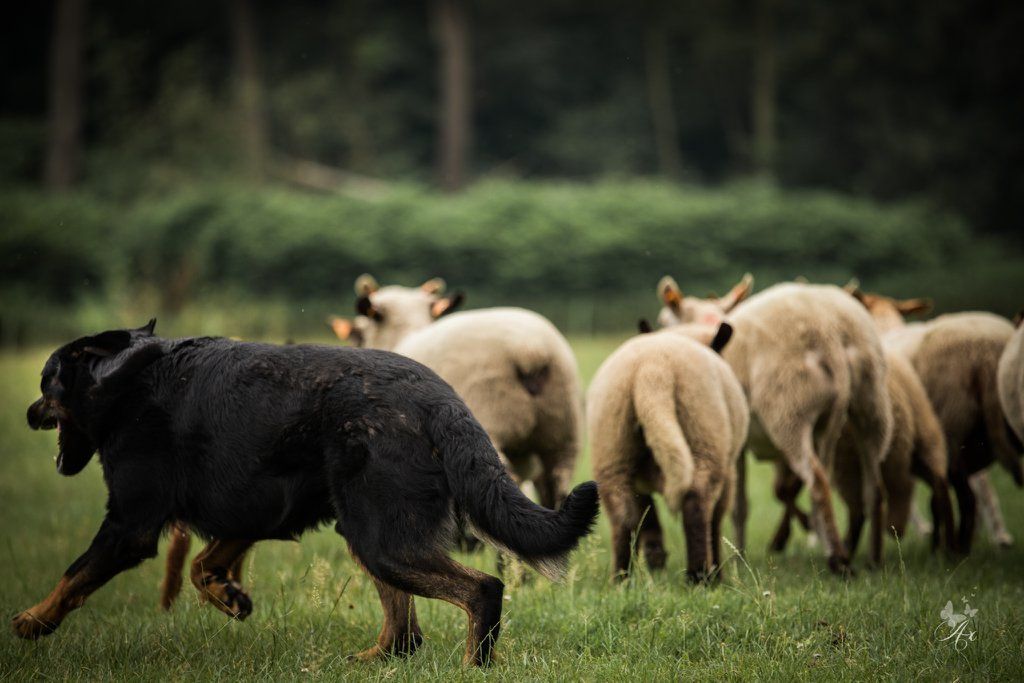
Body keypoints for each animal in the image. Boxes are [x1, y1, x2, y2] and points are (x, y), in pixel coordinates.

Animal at [16, 321, 598, 667]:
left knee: (481, 590)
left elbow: (74, 576)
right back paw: (367, 663)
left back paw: (472, 666)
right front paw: (229, 595)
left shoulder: (129, 525)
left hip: (380, 539)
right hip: (364, 529)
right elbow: (204, 565)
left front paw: (33, 621)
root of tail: (440, 399)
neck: (121, 379)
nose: (26, 413)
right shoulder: (255, 509)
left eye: (45, 383)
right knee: (405, 634)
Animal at [589, 323, 749, 581]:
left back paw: (622, 577)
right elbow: (716, 520)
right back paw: (701, 576)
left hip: (611, 448)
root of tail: (653, 370)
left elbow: (648, 517)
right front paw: (717, 570)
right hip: (705, 436)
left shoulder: (640, 482)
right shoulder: (729, 473)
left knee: (622, 512)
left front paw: (655, 562)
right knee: (696, 501)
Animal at [659, 274, 892, 573]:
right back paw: (873, 560)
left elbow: (739, 505)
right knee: (873, 487)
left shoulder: (734, 441)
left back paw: (838, 559)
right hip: (869, 404)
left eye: (663, 320)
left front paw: (738, 559)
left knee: (818, 482)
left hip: (788, 409)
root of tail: (831, 332)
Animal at [843, 286, 1019, 552]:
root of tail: (984, 357)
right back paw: (973, 542)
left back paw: (954, 547)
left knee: (964, 495)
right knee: (972, 492)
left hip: (951, 426)